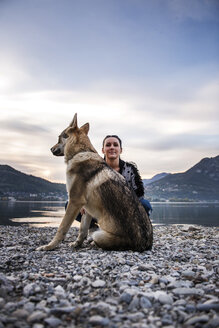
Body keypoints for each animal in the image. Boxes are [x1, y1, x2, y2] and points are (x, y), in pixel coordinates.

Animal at [36, 114, 153, 252]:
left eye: (59, 138)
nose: (50, 149)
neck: (80, 152)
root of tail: (144, 245)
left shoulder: (74, 201)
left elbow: (62, 228)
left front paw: (49, 246)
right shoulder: (86, 207)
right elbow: (82, 230)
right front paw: (77, 244)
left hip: (99, 234)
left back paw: (92, 243)